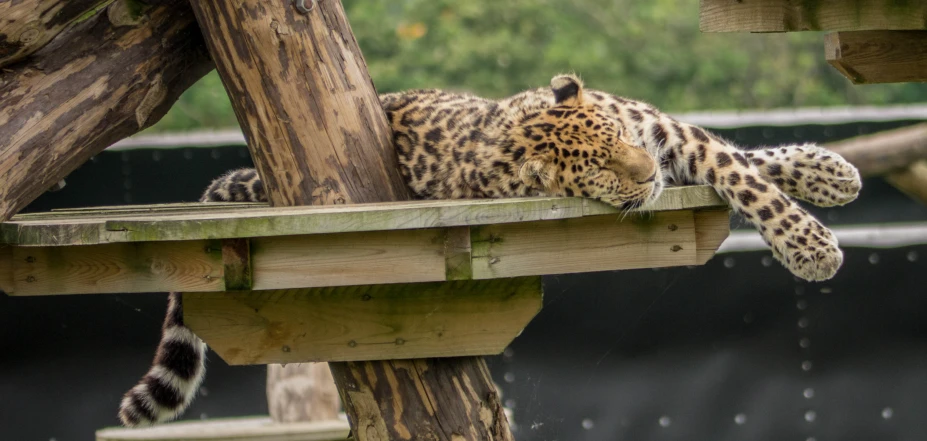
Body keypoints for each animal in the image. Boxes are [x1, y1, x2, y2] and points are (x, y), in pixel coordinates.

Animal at [116, 75, 864, 426]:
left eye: (619, 138)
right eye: (600, 167)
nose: (646, 173)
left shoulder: (667, 133)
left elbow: (742, 166)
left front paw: (821, 186)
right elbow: (743, 176)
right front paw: (813, 244)